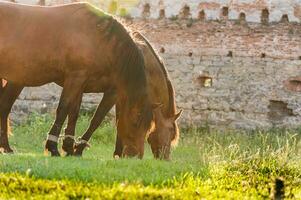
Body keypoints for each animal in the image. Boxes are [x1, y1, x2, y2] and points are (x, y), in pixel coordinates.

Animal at [0, 1, 152, 158]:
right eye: (136, 121)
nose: (136, 156)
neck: (98, 39)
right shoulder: (77, 78)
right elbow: (65, 109)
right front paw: (54, 147)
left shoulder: (82, 84)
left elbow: (75, 113)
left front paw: (69, 148)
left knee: (4, 106)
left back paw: (6, 147)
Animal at [73, 33, 182, 161]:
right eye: (171, 132)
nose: (166, 158)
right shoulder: (116, 95)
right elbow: (98, 120)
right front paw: (78, 150)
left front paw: (119, 153)